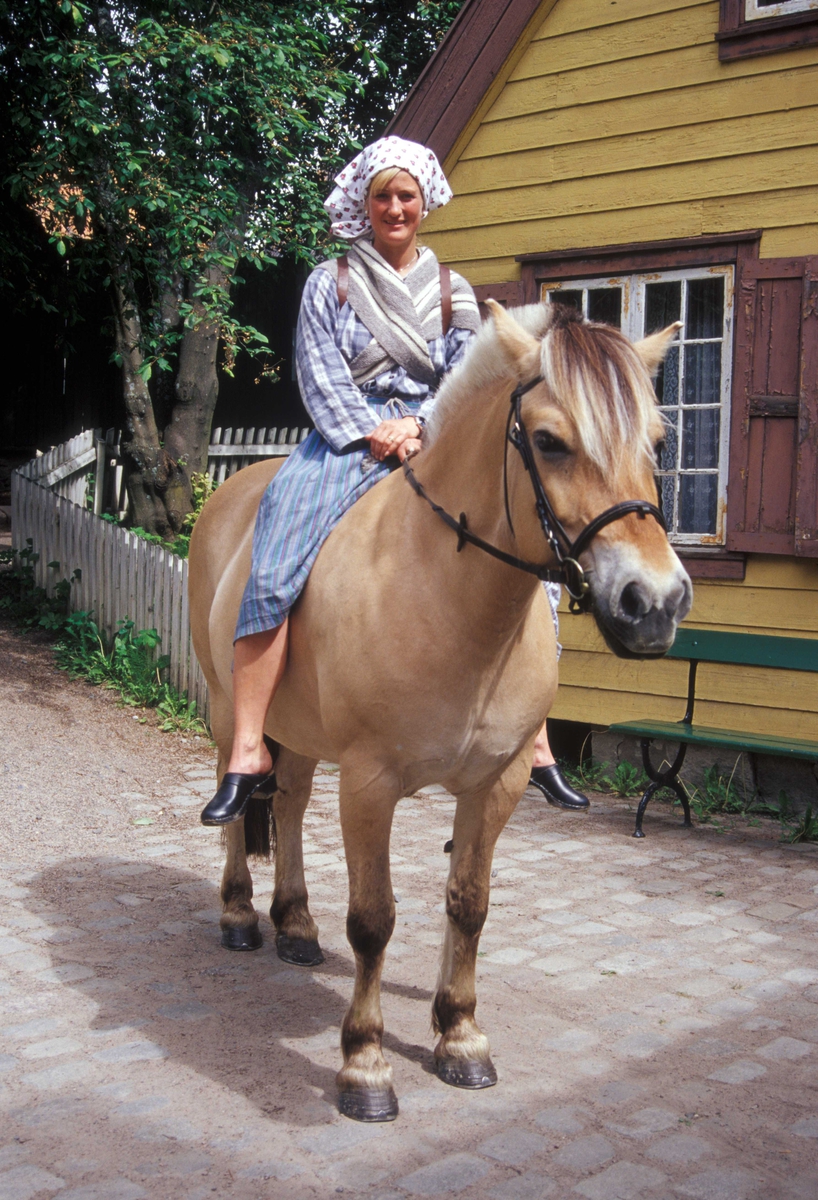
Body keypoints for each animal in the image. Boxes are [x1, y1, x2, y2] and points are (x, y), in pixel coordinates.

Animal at [185, 300, 686, 1123]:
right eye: (548, 441)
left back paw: (295, 922)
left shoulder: (497, 785)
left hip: (304, 735)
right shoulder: (369, 786)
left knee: (287, 802)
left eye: (658, 442)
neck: (443, 594)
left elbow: (469, 904)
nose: (656, 604)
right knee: (241, 794)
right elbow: (374, 920)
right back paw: (237, 917)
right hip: (233, 715)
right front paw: (364, 1067)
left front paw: (460, 1037)